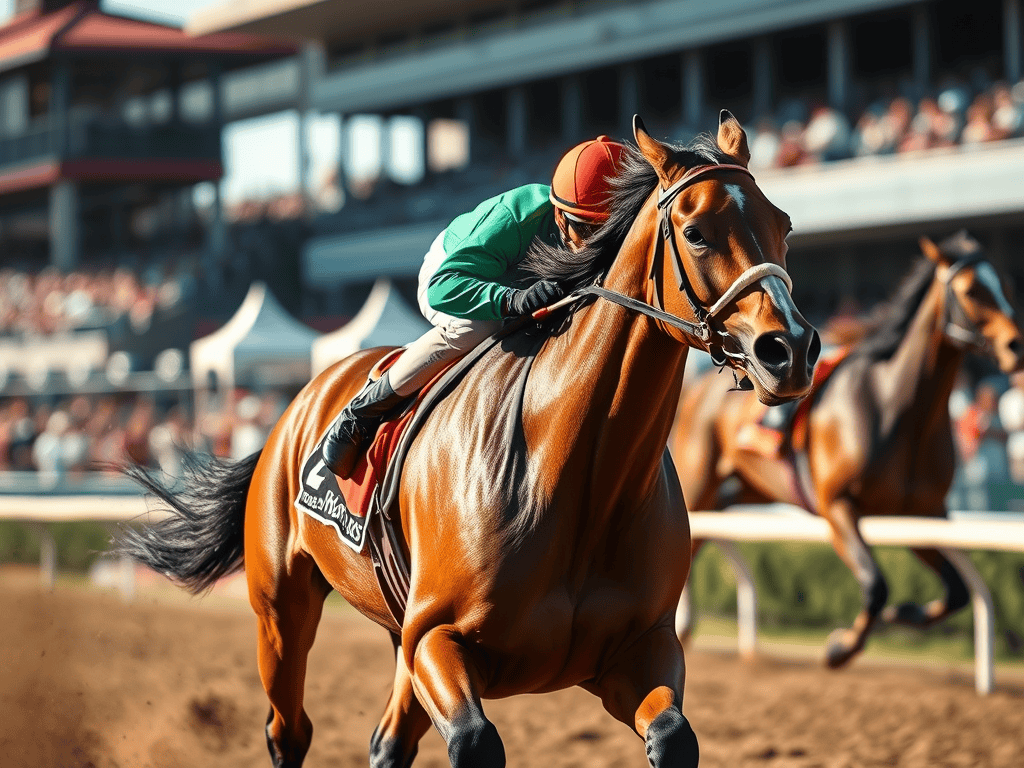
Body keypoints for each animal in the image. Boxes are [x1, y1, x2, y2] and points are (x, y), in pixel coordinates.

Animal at [118, 112, 818, 768]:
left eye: (784, 226)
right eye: (696, 233)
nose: (790, 349)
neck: (576, 477)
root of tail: (296, 405)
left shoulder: (638, 649)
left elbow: (674, 737)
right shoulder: (437, 637)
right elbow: (475, 741)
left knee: (386, 743)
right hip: (281, 609)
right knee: (288, 729)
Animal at [671, 231, 1024, 669]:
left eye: (1006, 285)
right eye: (972, 290)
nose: (1016, 346)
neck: (896, 406)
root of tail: (698, 388)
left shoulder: (922, 514)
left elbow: (957, 590)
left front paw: (905, 613)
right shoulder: (835, 505)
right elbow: (875, 584)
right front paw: (841, 647)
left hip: (742, 490)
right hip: (698, 482)